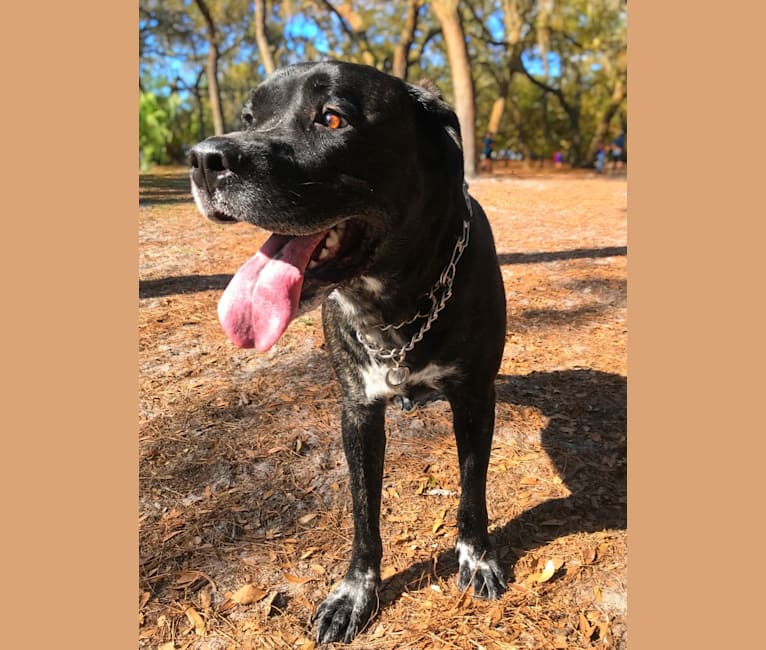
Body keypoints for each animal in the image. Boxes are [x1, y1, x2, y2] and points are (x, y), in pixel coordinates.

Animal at [188, 62, 508, 644]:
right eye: (250, 117)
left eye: (332, 117)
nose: (203, 159)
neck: (396, 307)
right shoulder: (357, 412)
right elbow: (364, 513)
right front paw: (355, 594)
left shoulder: (475, 400)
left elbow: (472, 492)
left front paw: (476, 559)